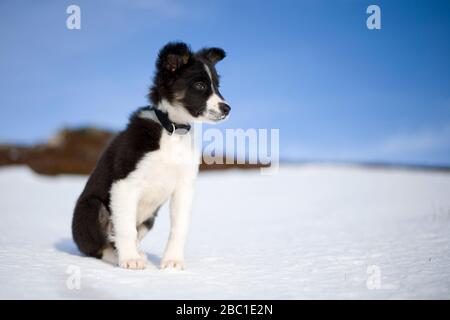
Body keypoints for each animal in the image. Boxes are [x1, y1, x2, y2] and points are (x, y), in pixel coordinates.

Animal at [73, 41, 232, 268]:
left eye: (217, 86)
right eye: (200, 85)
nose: (227, 108)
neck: (172, 129)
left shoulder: (184, 187)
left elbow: (179, 228)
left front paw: (172, 262)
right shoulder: (125, 184)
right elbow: (125, 229)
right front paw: (130, 260)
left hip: (149, 219)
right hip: (92, 207)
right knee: (99, 247)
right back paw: (121, 256)